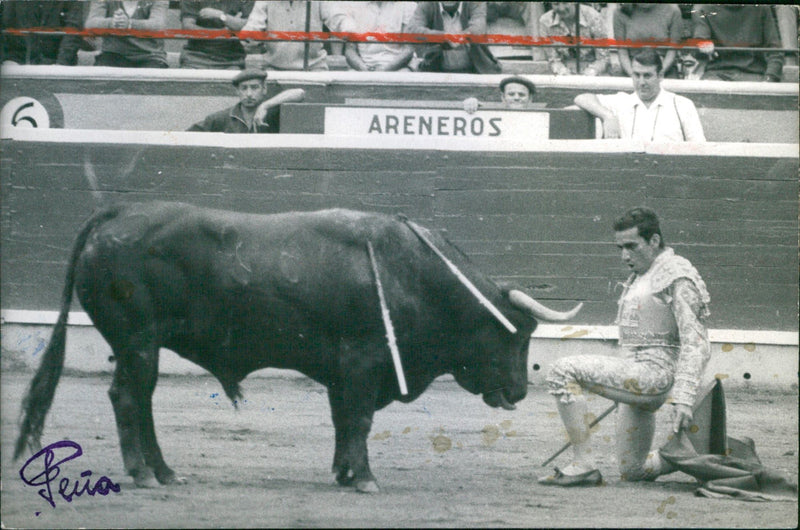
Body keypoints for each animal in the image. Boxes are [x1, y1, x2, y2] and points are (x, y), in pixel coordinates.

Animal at [14, 201, 580, 490]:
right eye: (518, 333)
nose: (520, 390)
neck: (416, 275)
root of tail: (113, 216)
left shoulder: (343, 371)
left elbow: (343, 420)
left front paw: (344, 473)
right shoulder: (362, 360)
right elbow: (360, 419)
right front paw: (365, 479)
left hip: (138, 345)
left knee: (131, 398)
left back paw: (164, 472)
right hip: (139, 340)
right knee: (132, 398)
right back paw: (146, 475)